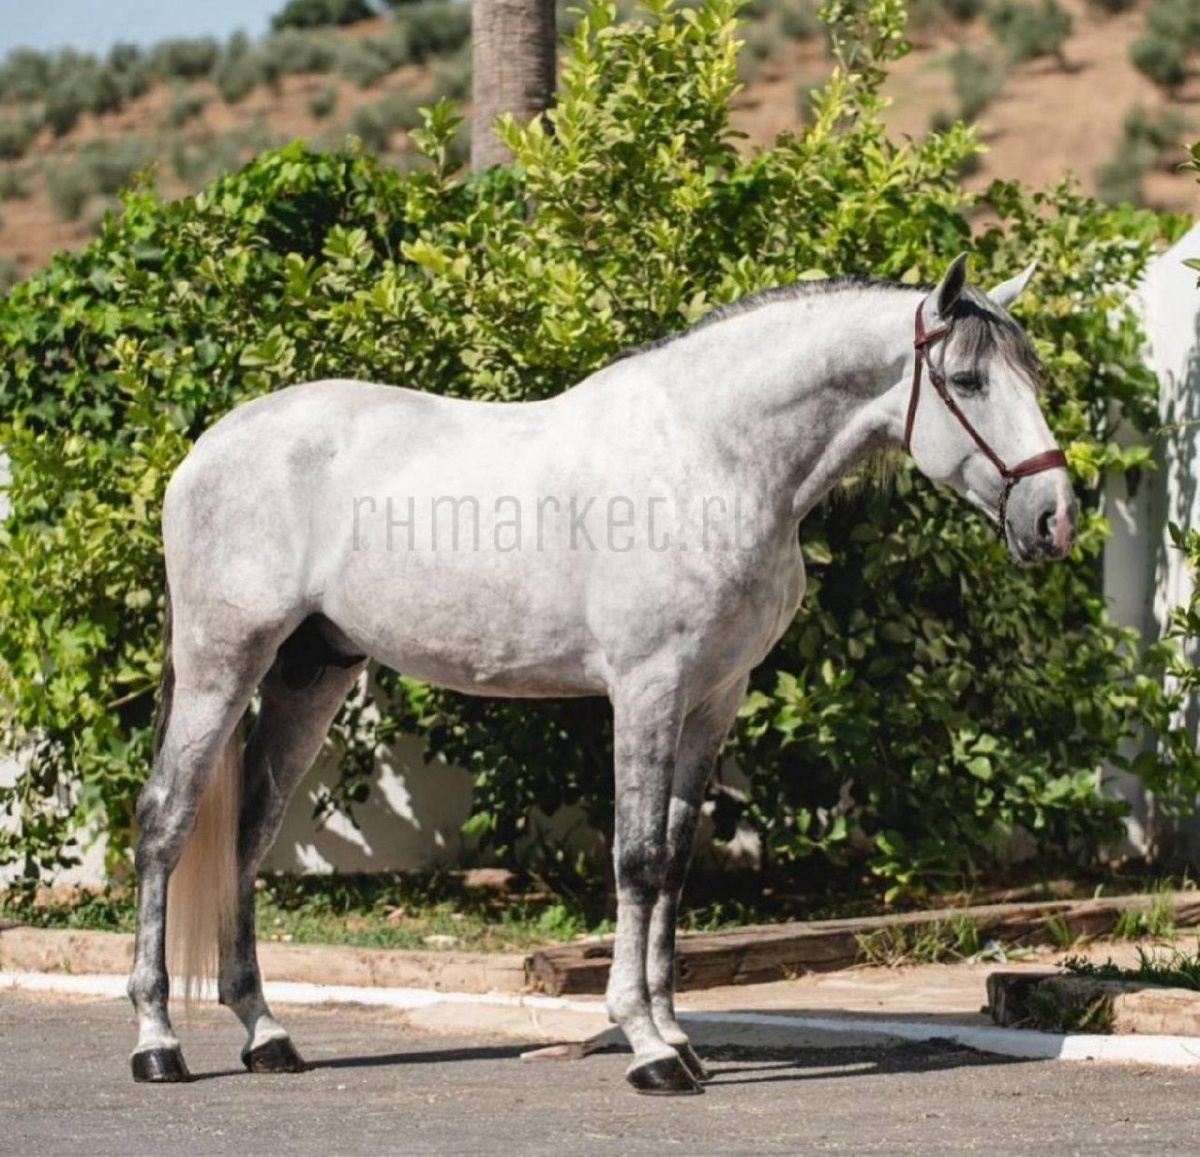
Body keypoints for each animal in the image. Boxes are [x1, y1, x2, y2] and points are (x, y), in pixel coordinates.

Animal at [127, 252, 1075, 1095]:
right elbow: (638, 858)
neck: (712, 457)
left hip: (311, 672)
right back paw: (157, 1041)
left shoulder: (714, 698)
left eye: (1032, 374)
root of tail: (206, 450)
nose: (1055, 517)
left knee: (248, 835)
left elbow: (677, 863)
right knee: (166, 822)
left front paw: (678, 1035)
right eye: (968, 379)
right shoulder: (647, 688)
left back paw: (267, 1034)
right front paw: (648, 1047)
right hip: (222, 662)